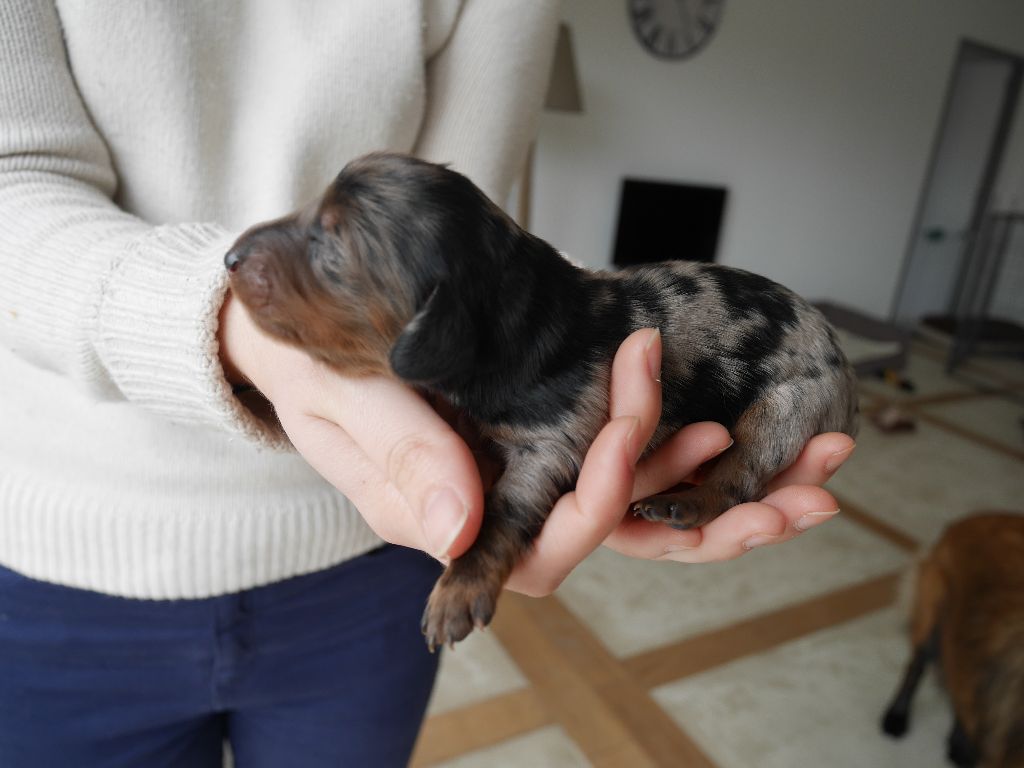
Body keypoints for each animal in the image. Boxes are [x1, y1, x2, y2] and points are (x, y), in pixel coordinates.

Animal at [225, 152, 859, 649]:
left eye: (330, 243)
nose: (229, 257)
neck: (522, 319)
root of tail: (845, 366)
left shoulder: (553, 443)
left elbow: (504, 509)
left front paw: (459, 587)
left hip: (788, 404)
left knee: (741, 476)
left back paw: (682, 503)